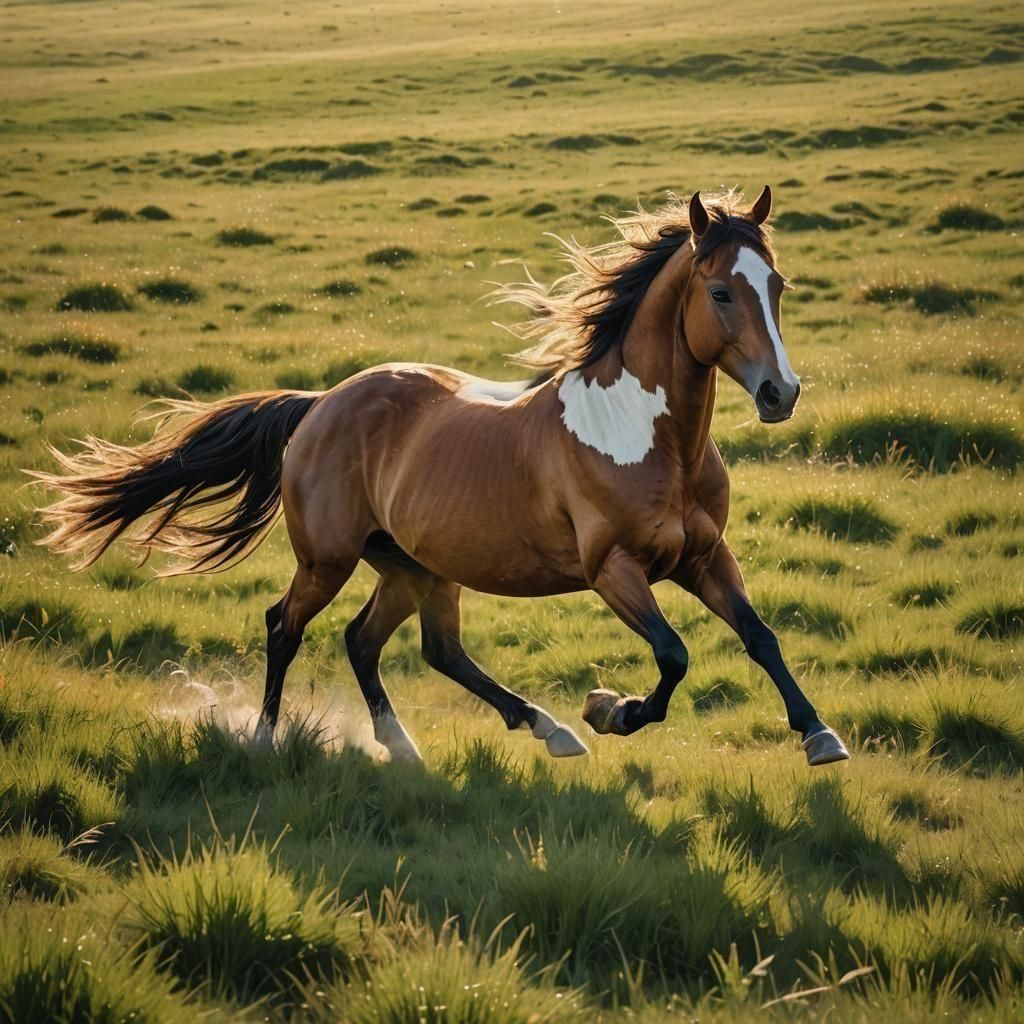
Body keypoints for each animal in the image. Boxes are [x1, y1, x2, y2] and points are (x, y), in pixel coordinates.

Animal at [33, 186, 850, 768]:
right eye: (721, 293)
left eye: (778, 285)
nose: (780, 393)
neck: (645, 441)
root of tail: (320, 404)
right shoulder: (613, 569)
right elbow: (674, 656)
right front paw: (610, 709)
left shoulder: (704, 556)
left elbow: (760, 636)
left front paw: (819, 735)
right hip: (328, 559)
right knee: (286, 626)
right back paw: (265, 741)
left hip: (413, 565)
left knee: (394, 645)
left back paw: (464, 739)